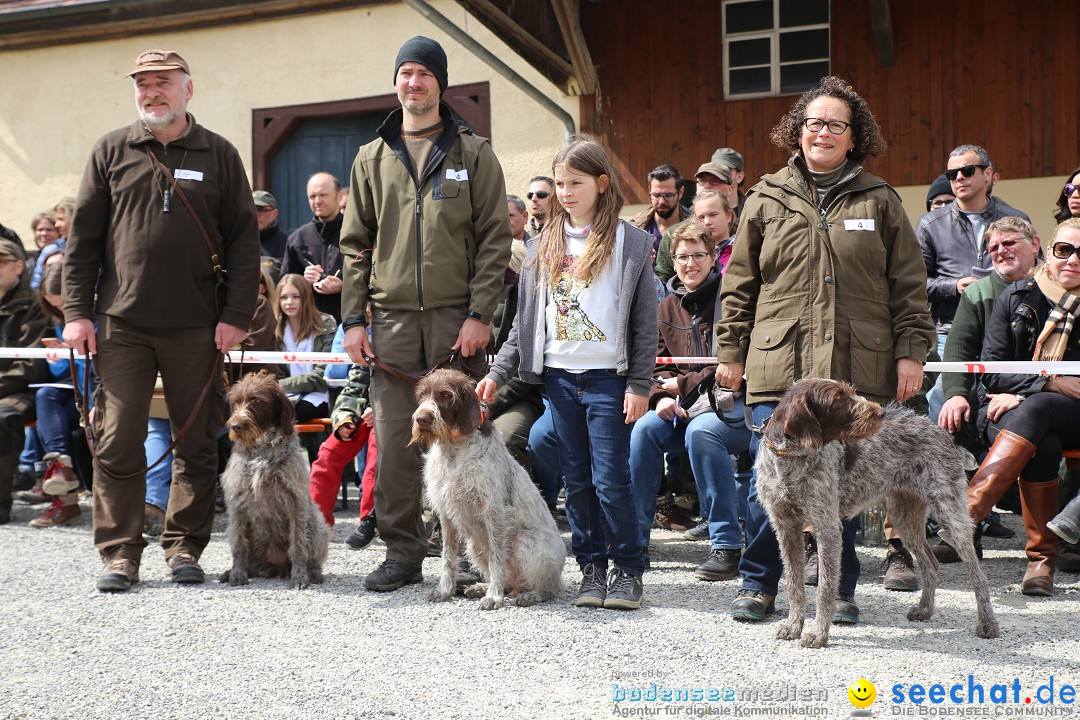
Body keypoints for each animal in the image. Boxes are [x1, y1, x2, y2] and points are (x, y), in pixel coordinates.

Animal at [216, 371, 324, 591]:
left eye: (256, 401)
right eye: (236, 402)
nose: (235, 426)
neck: (262, 448)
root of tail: (277, 568)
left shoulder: (296, 501)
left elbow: (298, 544)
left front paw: (300, 577)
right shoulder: (237, 501)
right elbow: (239, 545)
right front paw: (237, 574)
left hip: (317, 522)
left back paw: (313, 572)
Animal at [408, 369, 570, 613]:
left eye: (446, 395)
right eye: (422, 395)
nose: (422, 419)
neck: (453, 450)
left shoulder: (494, 513)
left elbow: (496, 559)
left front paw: (494, 597)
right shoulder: (446, 515)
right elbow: (448, 557)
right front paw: (445, 590)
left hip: (523, 542)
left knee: (548, 589)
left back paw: (529, 595)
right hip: (474, 545)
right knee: (510, 582)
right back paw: (482, 587)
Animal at [751, 379, 993, 651]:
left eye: (851, 391)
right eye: (837, 399)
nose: (881, 412)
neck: (790, 458)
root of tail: (944, 435)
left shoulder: (827, 527)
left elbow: (824, 588)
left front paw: (819, 634)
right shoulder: (785, 527)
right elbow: (794, 584)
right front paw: (794, 626)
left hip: (949, 512)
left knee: (978, 574)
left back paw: (987, 623)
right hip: (904, 517)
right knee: (930, 563)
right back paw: (924, 610)